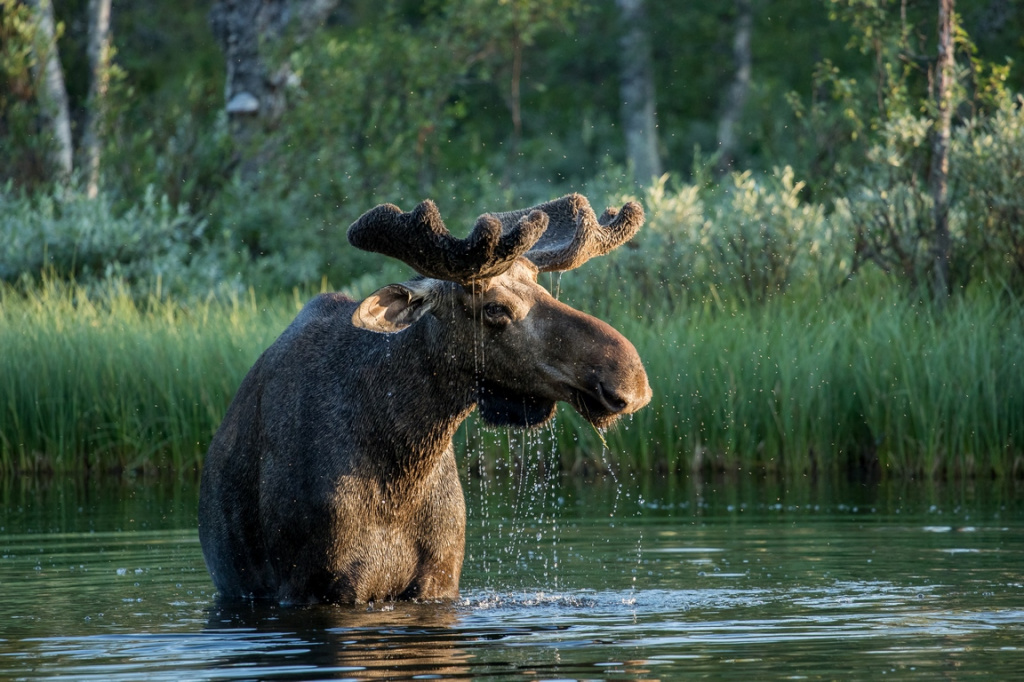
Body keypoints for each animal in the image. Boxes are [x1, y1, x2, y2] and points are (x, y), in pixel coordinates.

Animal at [198, 193, 651, 604]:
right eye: (494, 308)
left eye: (544, 290)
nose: (630, 380)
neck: (401, 466)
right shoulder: (313, 586)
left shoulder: (439, 577)